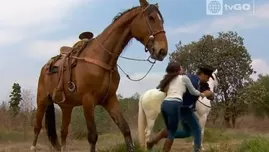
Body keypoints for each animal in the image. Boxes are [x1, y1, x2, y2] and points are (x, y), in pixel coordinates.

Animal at [30, 0, 166, 152]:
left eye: (161, 20)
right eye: (151, 18)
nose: (162, 50)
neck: (102, 58)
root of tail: (45, 66)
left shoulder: (110, 99)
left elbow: (125, 128)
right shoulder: (88, 100)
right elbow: (93, 136)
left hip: (66, 107)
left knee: (63, 132)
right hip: (42, 100)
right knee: (37, 127)